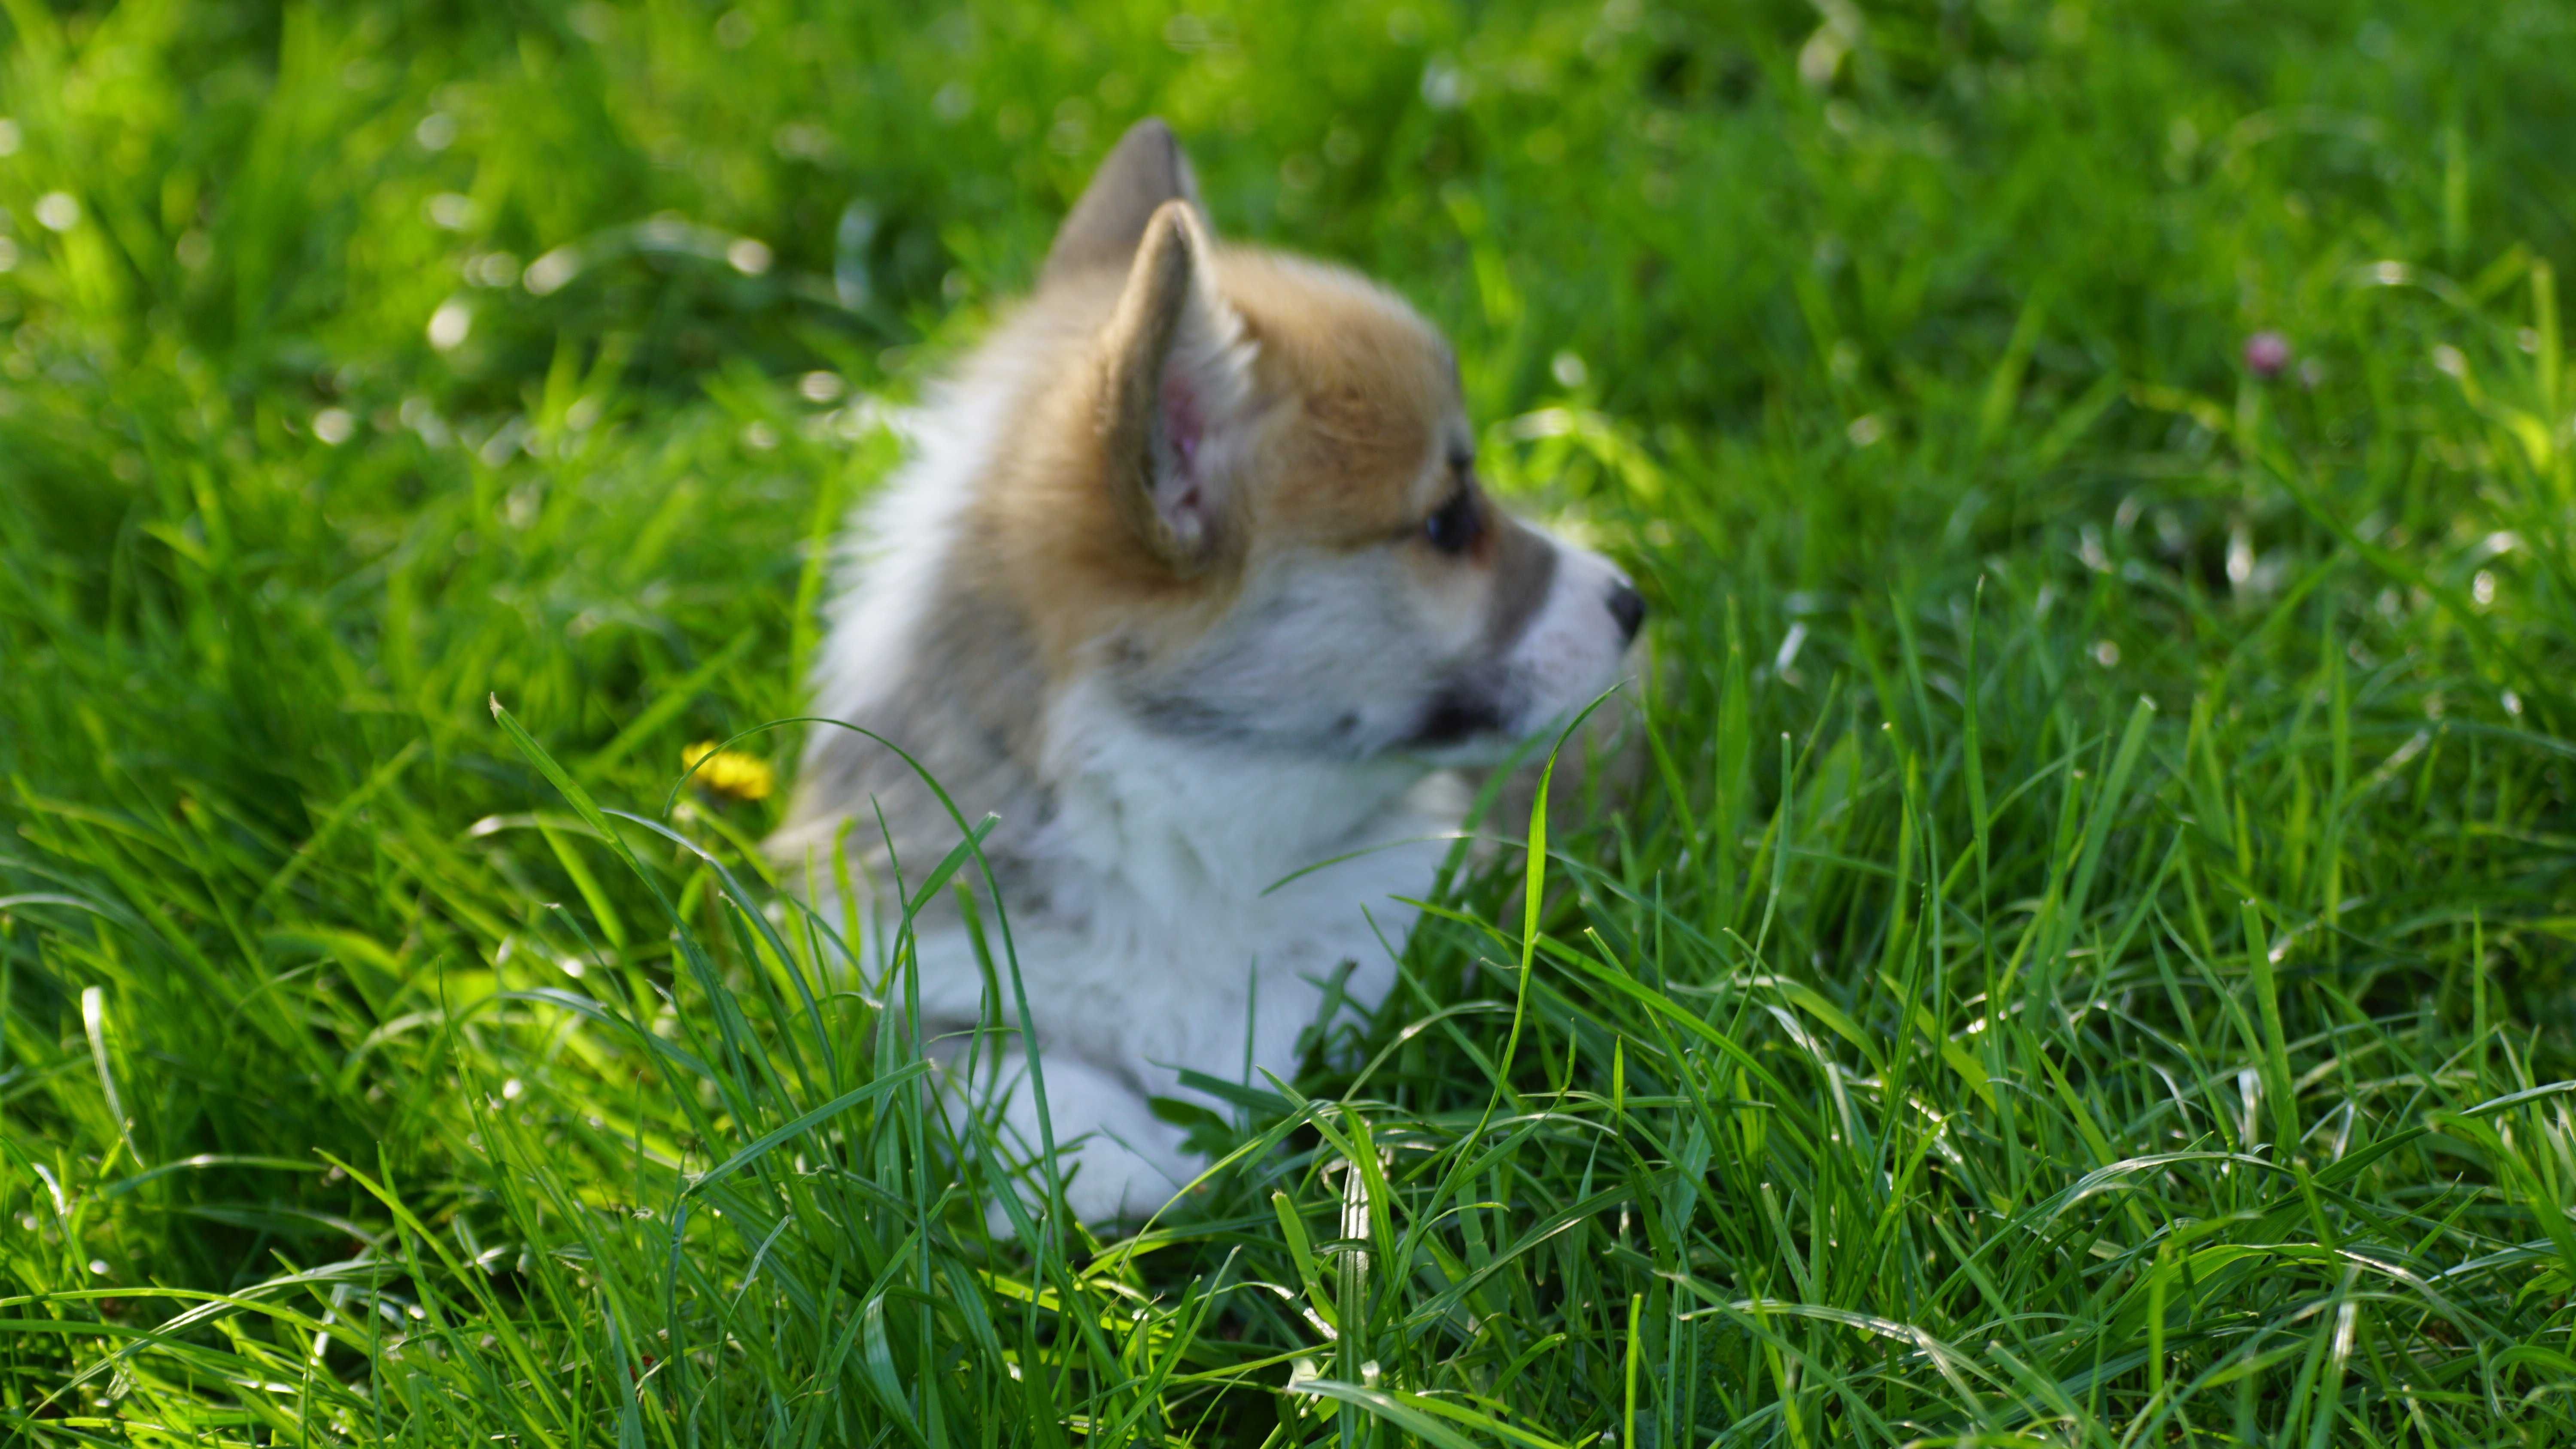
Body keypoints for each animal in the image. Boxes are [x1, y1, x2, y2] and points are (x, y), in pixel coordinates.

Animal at [773, 121, 1638, 1225]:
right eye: (1447, 524)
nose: (1632, 603)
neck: (1177, 826)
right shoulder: (913, 975)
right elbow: (999, 1067)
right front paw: (1110, 1162)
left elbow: (1305, 1010)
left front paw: (1225, 1113)